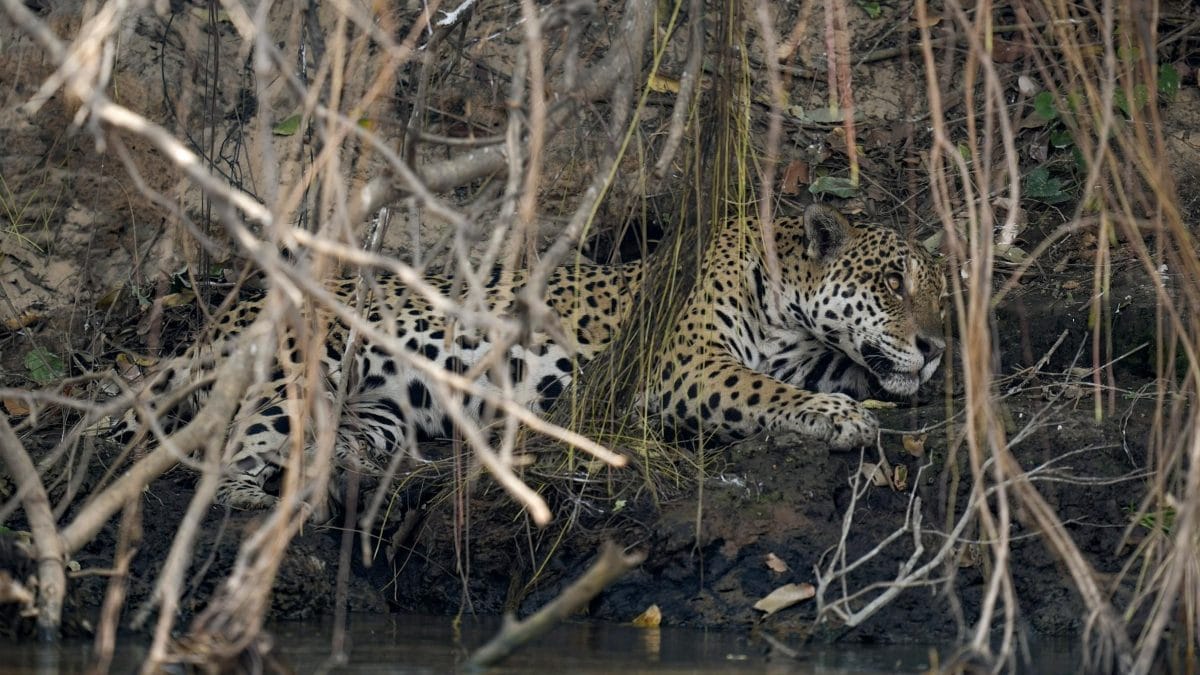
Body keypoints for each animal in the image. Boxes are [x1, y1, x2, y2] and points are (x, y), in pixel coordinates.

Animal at [97, 203, 945, 510]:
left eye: (938, 288)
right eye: (892, 281)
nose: (937, 344)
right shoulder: (685, 364)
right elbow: (764, 390)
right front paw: (838, 416)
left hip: (380, 409)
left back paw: (344, 471)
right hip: (302, 360)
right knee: (228, 451)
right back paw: (246, 501)